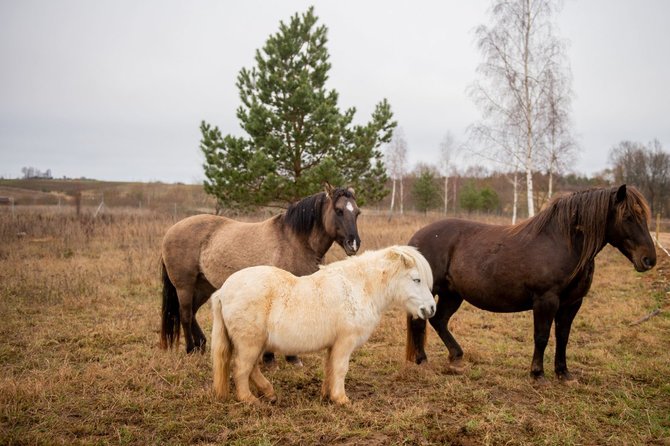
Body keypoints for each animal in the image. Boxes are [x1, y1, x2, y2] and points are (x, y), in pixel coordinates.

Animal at [161, 183, 362, 358]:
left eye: (357, 213)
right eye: (339, 210)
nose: (354, 243)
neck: (294, 241)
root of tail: (171, 230)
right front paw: (275, 357)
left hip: (204, 285)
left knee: (192, 312)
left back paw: (201, 345)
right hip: (184, 286)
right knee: (185, 314)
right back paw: (190, 349)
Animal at [213, 244, 438, 404]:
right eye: (416, 280)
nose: (431, 308)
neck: (358, 287)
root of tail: (223, 291)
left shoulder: (333, 345)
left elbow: (330, 368)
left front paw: (327, 395)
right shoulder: (345, 343)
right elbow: (340, 369)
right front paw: (341, 399)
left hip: (256, 344)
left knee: (250, 369)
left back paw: (269, 393)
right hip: (249, 344)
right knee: (241, 369)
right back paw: (249, 399)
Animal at [406, 185, 660, 380]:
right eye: (628, 217)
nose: (649, 260)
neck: (561, 243)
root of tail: (416, 239)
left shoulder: (572, 303)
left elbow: (563, 336)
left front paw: (563, 373)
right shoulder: (546, 300)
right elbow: (542, 336)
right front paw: (538, 374)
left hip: (453, 294)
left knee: (439, 320)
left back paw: (456, 358)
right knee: (420, 321)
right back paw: (423, 361)